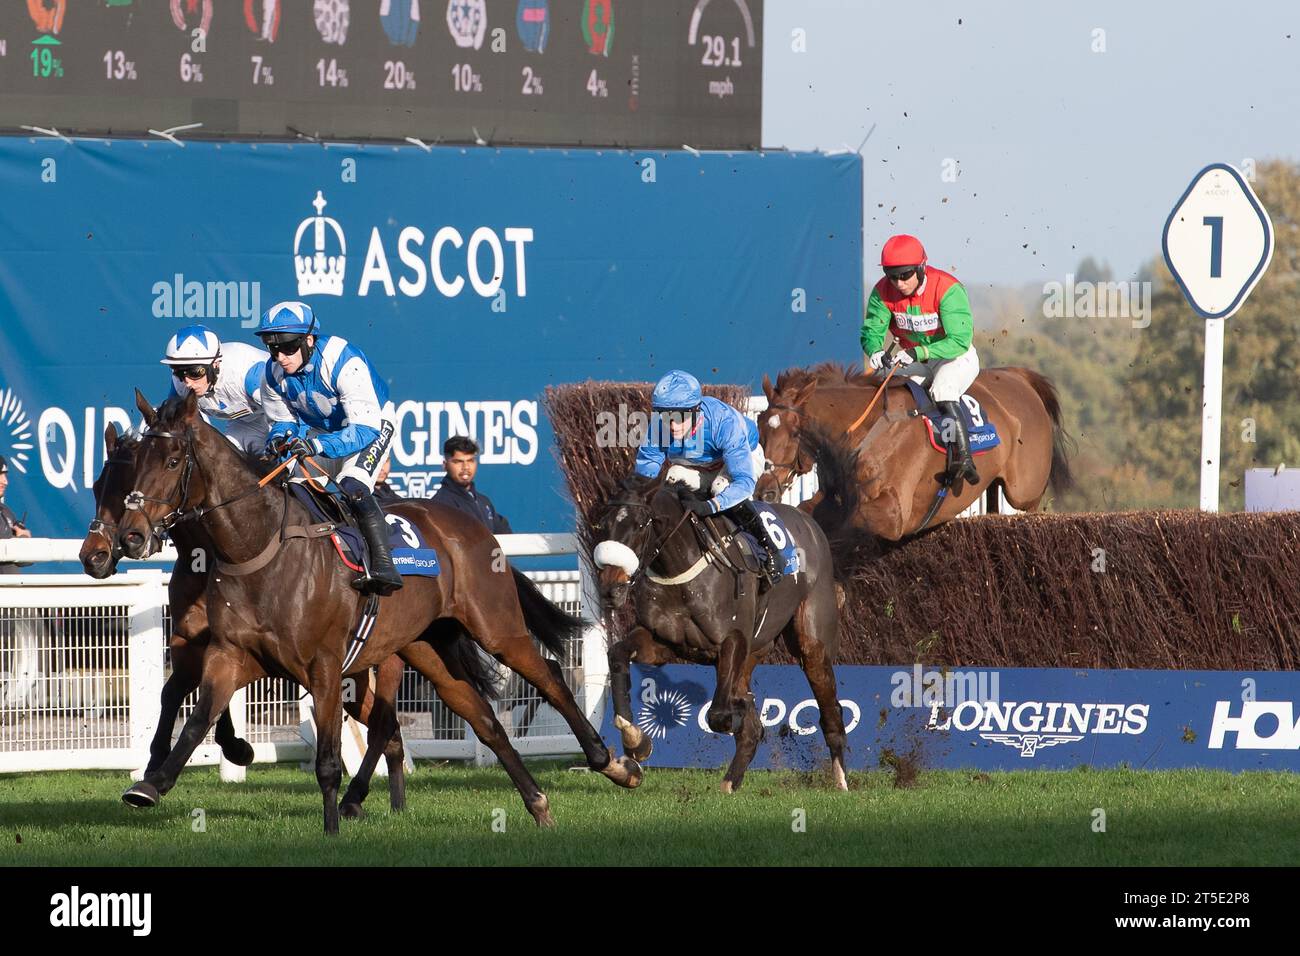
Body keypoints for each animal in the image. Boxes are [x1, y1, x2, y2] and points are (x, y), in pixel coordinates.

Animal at [116, 392, 639, 832]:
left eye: (172, 460)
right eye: (132, 462)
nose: (131, 535)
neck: (259, 546)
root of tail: (473, 527)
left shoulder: (325, 665)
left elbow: (328, 760)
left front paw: (331, 830)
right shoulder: (228, 656)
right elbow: (197, 721)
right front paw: (150, 785)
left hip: (495, 627)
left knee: (549, 677)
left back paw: (615, 761)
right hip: (430, 648)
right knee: (484, 721)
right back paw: (538, 803)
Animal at [592, 468, 852, 790]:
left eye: (640, 524)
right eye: (603, 525)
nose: (610, 588)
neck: (680, 570)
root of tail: (808, 521)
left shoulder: (733, 641)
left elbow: (719, 715)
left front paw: (738, 712)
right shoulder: (662, 642)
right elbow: (617, 655)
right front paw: (635, 741)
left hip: (812, 642)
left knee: (831, 710)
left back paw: (840, 781)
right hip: (753, 654)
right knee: (750, 725)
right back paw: (729, 781)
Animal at [759, 361, 1071, 541]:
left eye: (794, 432)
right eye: (760, 429)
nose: (765, 491)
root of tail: (1017, 376)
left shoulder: (894, 514)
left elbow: (851, 521)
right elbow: (807, 510)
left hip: (1024, 490)